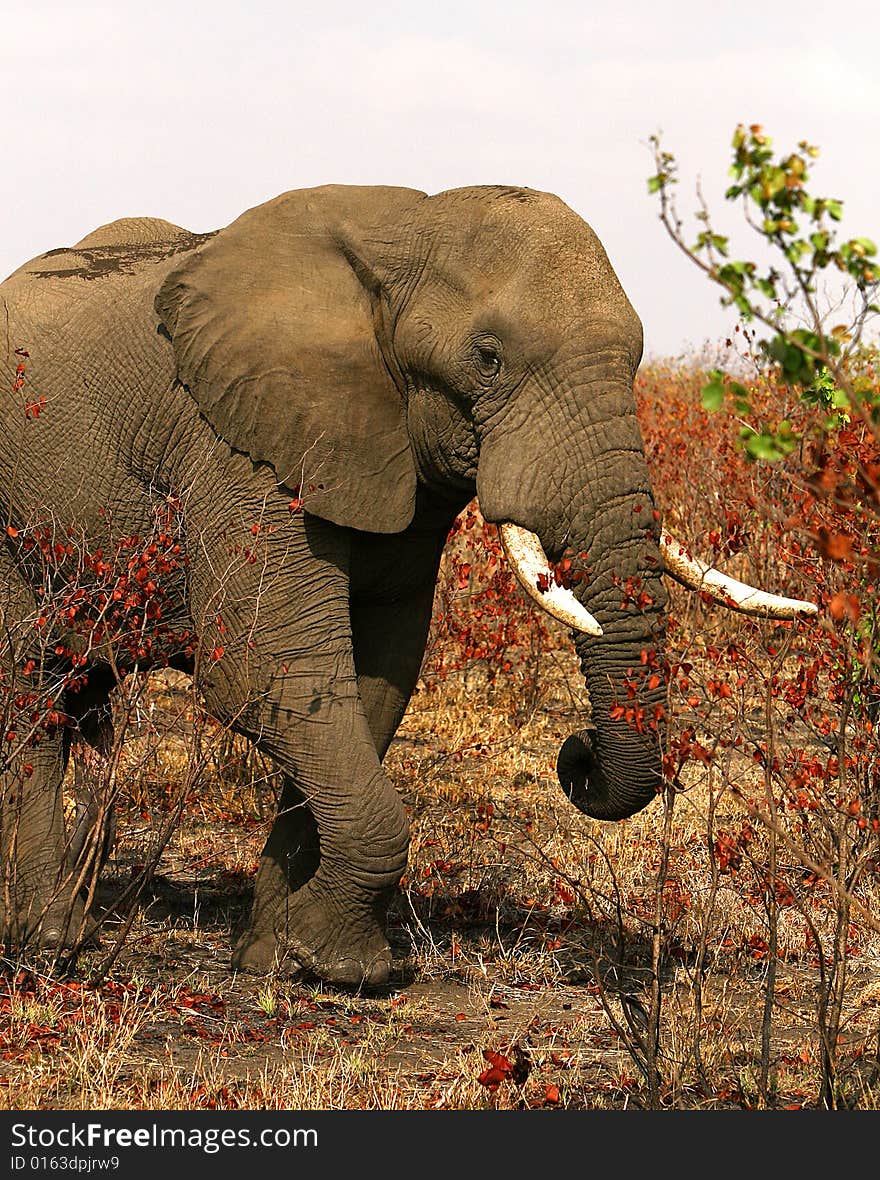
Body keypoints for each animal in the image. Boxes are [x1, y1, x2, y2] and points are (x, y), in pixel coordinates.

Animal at [0, 184, 816, 986]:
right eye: (486, 359)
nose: (578, 756)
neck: (404, 233)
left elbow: (371, 682)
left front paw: (284, 960)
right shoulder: (241, 449)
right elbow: (270, 673)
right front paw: (342, 966)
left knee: (76, 693)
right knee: (29, 689)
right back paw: (49, 943)